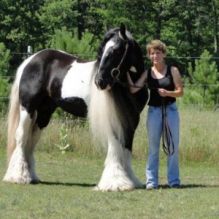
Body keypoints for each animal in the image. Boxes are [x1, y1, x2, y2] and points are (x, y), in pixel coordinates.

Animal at [3, 24, 148, 192]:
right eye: (103, 50)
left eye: (117, 50)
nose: (99, 81)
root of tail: (30, 61)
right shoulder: (113, 118)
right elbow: (115, 145)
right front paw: (114, 182)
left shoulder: (132, 119)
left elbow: (126, 146)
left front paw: (129, 180)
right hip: (28, 107)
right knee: (21, 136)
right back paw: (18, 176)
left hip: (44, 112)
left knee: (31, 139)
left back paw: (30, 176)